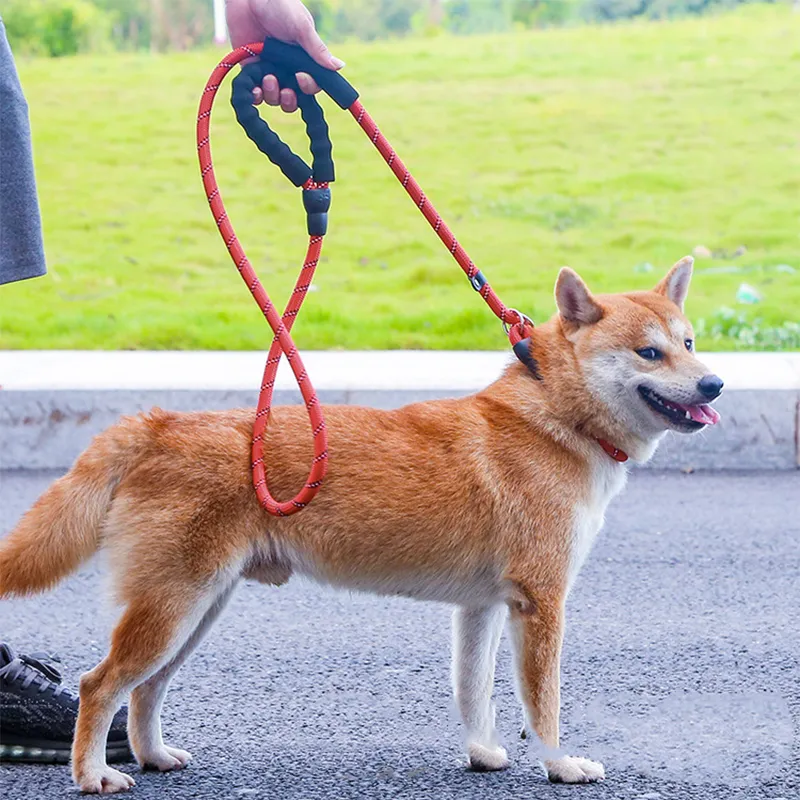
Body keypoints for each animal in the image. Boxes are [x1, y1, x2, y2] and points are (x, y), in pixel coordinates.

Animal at [0, 258, 724, 792]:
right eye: (649, 353)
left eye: (689, 344)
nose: (714, 384)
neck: (555, 419)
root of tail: (157, 425)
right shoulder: (541, 605)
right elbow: (541, 706)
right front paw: (561, 766)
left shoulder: (482, 609)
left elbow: (474, 693)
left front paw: (483, 754)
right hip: (173, 608)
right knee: (100, 686)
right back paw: (93, 775)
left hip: (194, 611)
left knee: (144, 692)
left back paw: (151, 757)